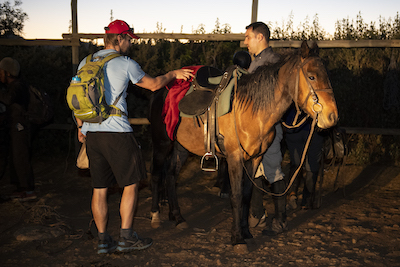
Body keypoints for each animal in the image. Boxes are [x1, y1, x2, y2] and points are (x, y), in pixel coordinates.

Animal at [149, 40, 338, 254]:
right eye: (312, 76)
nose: (332, 116)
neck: (252, 111)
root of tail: (160, 91)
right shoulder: (234, 158)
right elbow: (236, 195)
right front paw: (237, 238)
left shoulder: (255, 158)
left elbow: (247, 194)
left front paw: (246, 232)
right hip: (162, 144)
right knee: (156, 175)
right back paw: (156, 216)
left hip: (181, 147)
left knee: (171, 175)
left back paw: (177, 217)